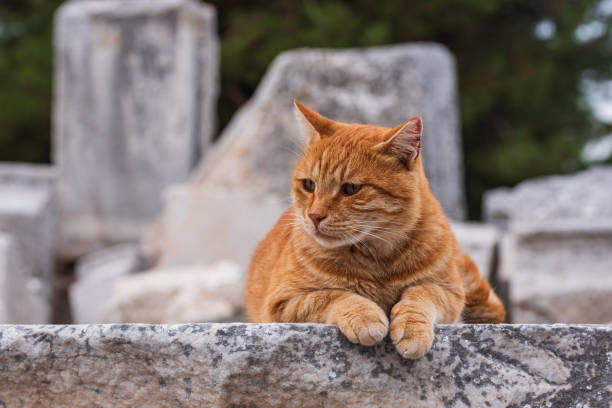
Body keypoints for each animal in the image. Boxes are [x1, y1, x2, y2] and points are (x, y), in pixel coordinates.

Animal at [245, 100, 506, 358]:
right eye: (309, 185)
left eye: (351, 189)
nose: (314, 216)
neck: (378, 258)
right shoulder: (282, 302)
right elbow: (331, 295)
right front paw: (364, 316)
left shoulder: (450, 292)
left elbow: (422, 292)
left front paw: (412, 328)